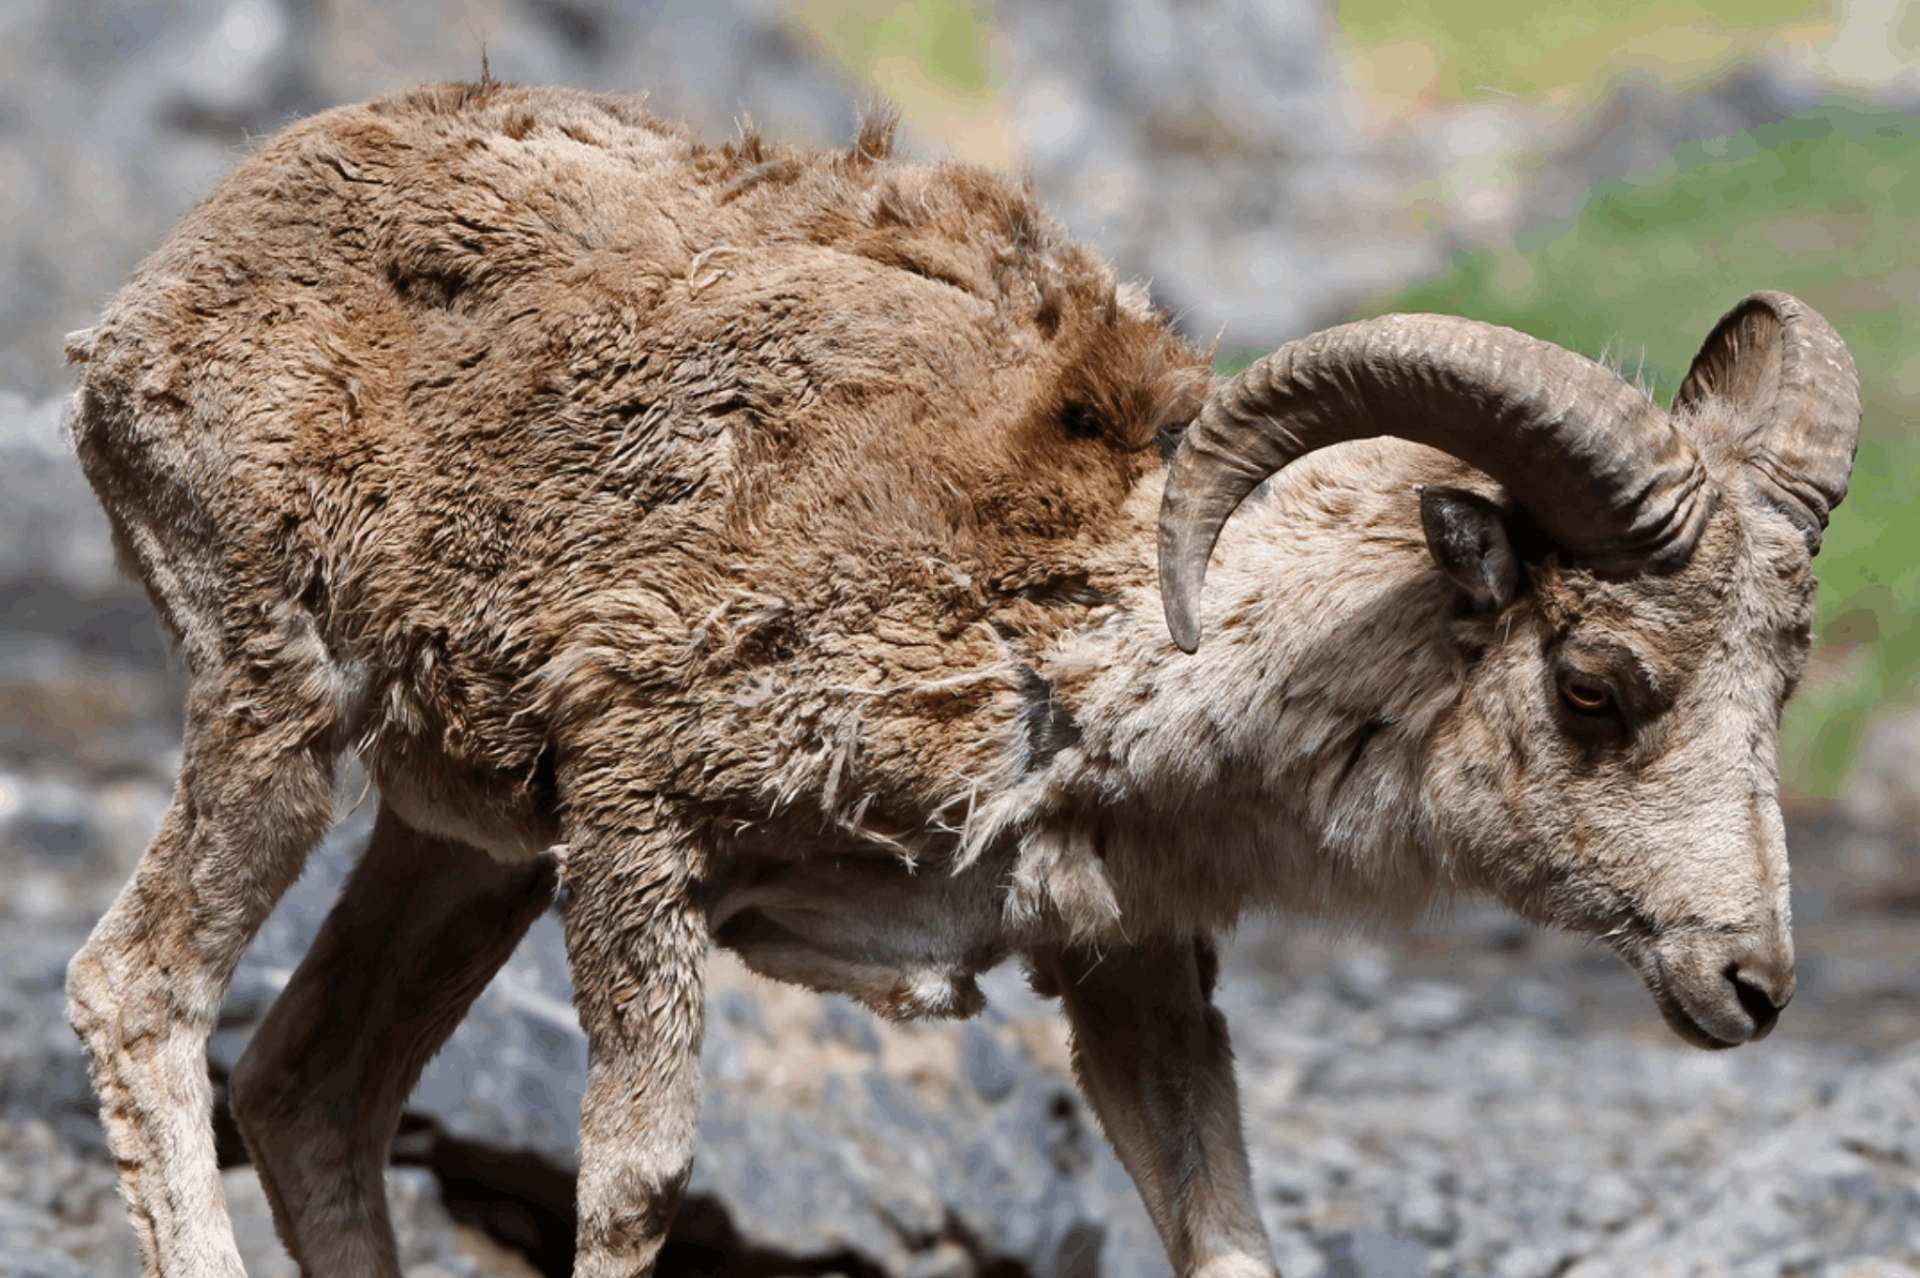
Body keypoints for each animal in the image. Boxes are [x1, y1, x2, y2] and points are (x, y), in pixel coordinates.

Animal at [60, 80, 1860, 1278]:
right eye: (1600, 681)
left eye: (1778, 691)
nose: (1752, 984)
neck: (1075, 649)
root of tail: (144, 307)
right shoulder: (639, 834)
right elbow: (634, 1185)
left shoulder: (1128, 974)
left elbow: (1225, 1226)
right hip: (280, 715)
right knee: (137, 990)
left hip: (458, 845)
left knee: (309, 1089)